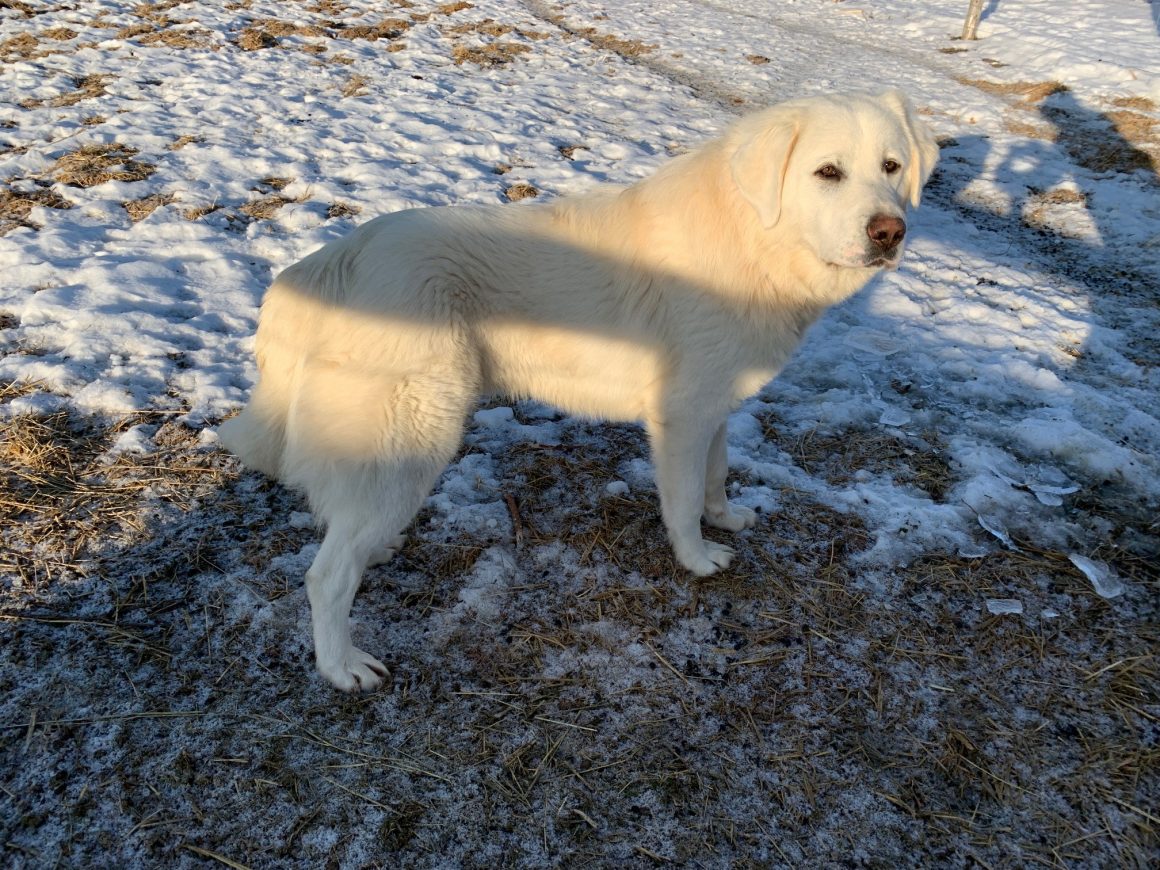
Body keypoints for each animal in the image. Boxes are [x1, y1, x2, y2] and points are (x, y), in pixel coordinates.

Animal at [219, 92, 941, 691]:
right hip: (414, 432)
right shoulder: (680, 416)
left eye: (891, 166)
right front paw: (697, 558)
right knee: (325, 575)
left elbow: (715, 476)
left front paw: (725, 518)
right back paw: (343, 667)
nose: (889, 232)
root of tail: (338, 257)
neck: (754, 235)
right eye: (827, 173)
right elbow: (682, 501)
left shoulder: (714, 407)